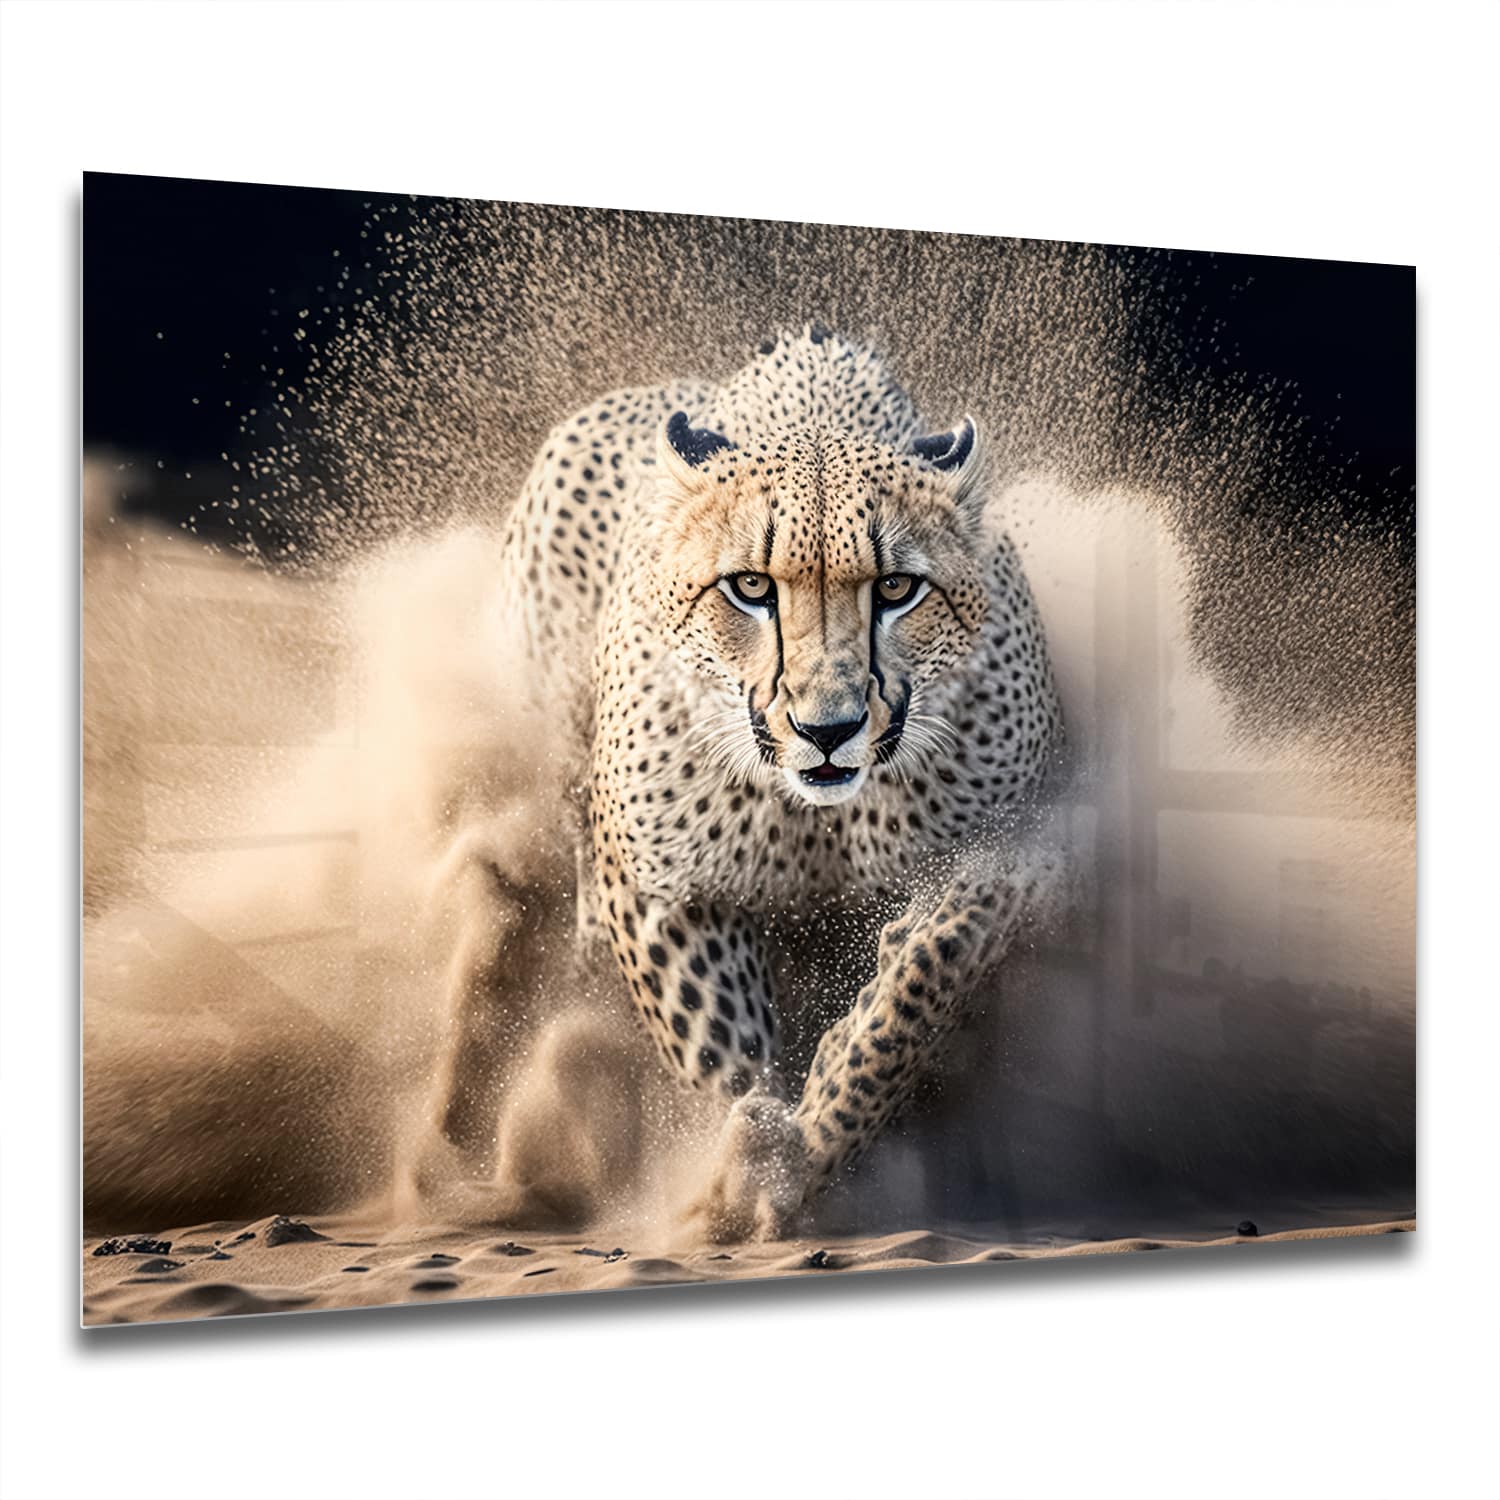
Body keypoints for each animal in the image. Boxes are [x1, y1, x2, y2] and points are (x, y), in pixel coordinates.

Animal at [428, 326, 1065, 1241]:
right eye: (751, 587)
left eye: (897, 588)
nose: (828, 728)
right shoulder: (660, 882)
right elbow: (717, 1044)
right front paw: (751, 1168)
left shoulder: (1023, 849)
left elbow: (934, 961)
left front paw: (829, 1111)